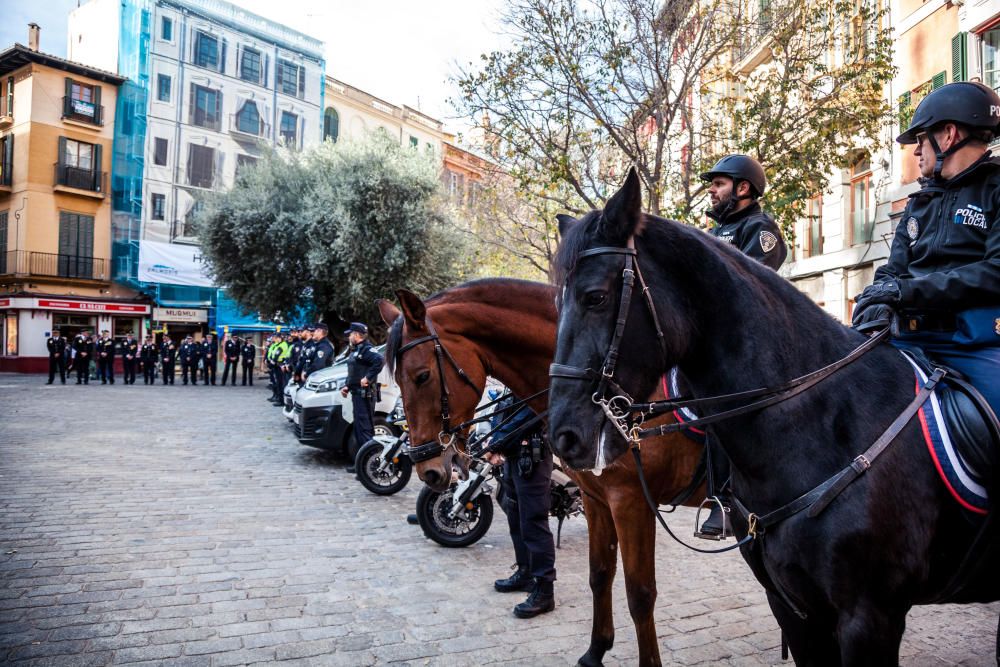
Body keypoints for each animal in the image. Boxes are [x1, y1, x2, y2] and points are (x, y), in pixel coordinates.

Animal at [378, 280, 708, 664]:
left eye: (422, 376)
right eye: (396, 379)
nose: (427, 469)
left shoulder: (632, 503)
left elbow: (640, 594)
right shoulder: (598, 500)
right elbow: (600, 575)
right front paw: (595, 650)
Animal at [548, 170, 1000, 664]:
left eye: (595, 297)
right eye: (556, 303)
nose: (563, 437)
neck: (824, 427)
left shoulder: (870, 618)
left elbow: (637, 591)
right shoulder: (793, 608)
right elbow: (603, 576)